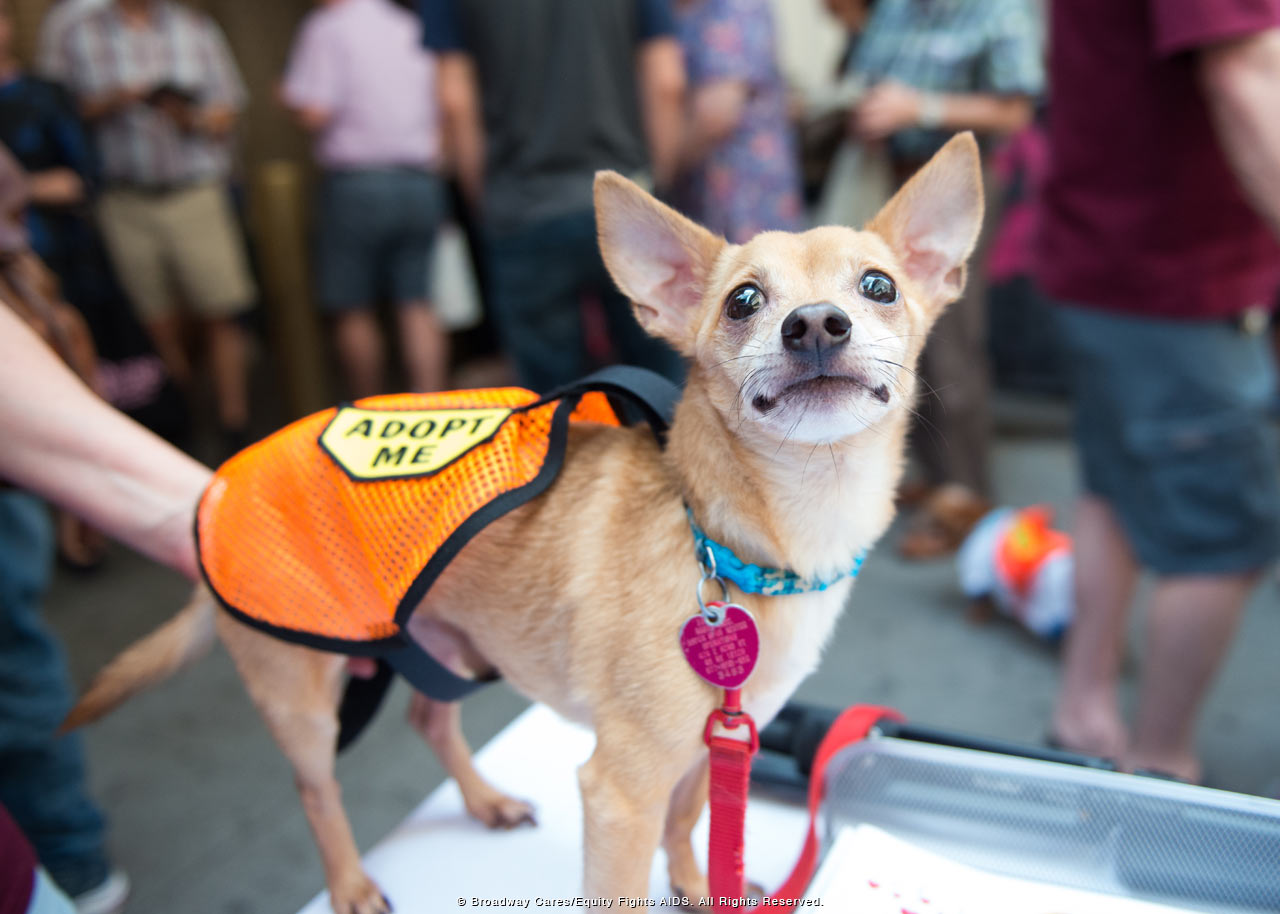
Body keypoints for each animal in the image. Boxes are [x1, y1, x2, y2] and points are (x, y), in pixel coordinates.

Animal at [67, 133, 977, 911]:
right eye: (743, 301)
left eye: (879, 286)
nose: (816, 322)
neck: (733, 542)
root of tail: (219, 492)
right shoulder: (621, 790)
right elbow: (624, 883)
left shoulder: (708, 748)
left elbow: (690, 824)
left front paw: (697, 886)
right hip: (304, 696)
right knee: (316, 788)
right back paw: (351, 883)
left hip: (444, 645)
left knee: (428, 718)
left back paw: (485, 802)